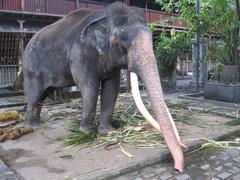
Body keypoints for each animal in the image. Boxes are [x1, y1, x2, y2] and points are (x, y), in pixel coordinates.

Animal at [23, 1, 184, 173]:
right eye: (124, 38)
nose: (177, 169)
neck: (103, 17)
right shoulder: (80, 53)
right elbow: (90, 87)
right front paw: (86, 132)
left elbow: (111, 88)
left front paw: (108, 132)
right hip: (32, 68)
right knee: (35, 94)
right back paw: (33, 125)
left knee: (43, 95)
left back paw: (39, 122)